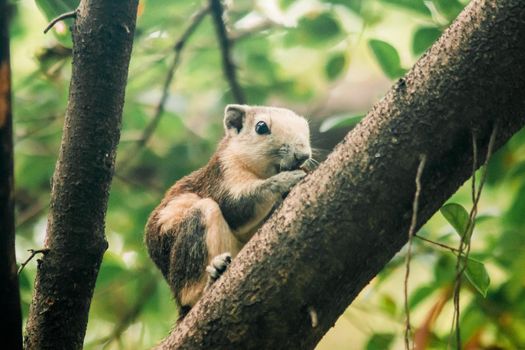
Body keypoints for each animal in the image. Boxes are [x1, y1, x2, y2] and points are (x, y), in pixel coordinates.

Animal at [143, 103, 312, 318]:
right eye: (261, 127)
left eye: (306, 127)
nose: (303, 155)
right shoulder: (223, 174)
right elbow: (235, 208)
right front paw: (285, 180)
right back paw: (210, 280)